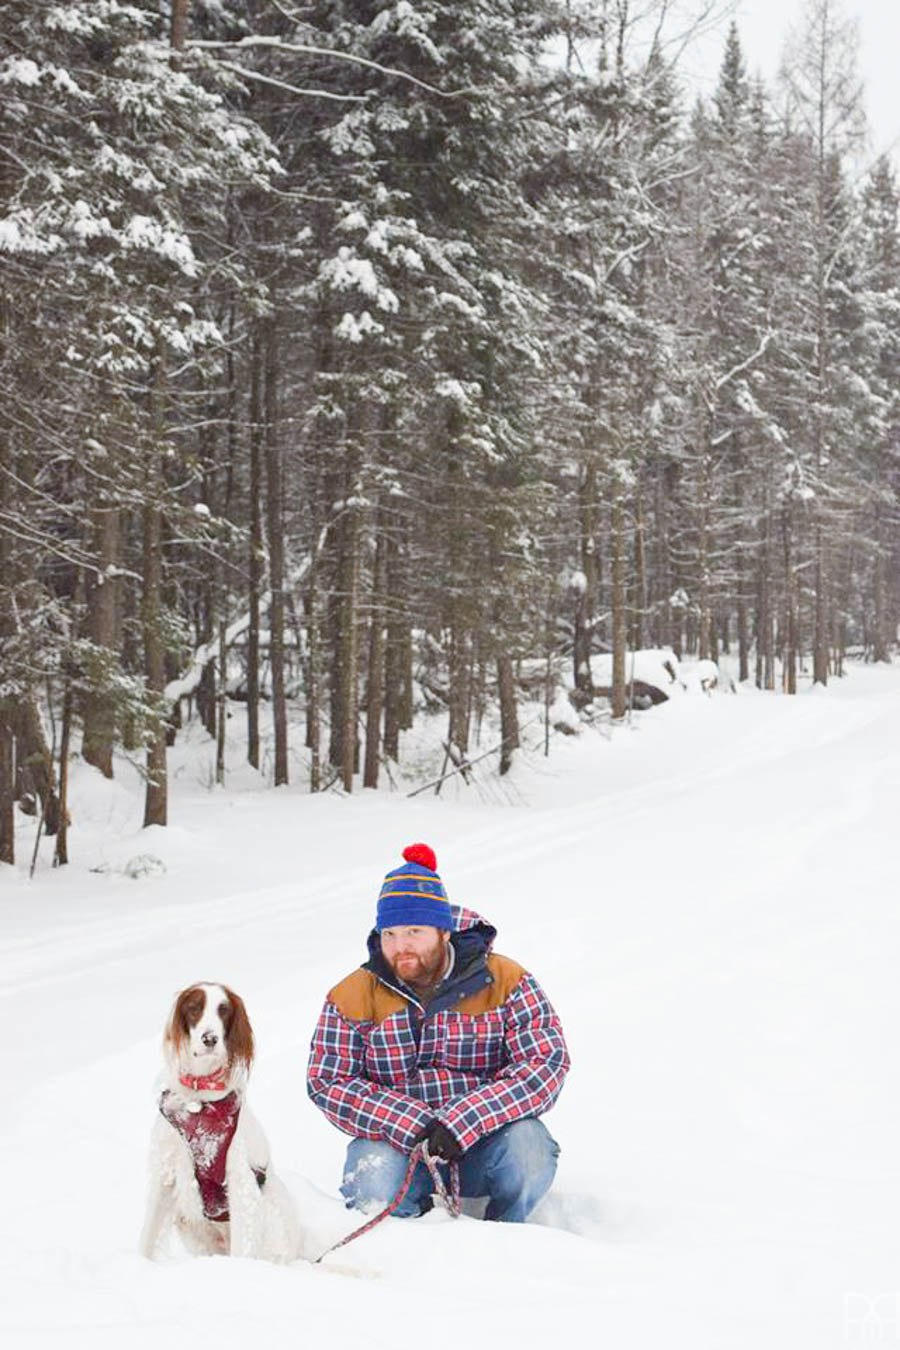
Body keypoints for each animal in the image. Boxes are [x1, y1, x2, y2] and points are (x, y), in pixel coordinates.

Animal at [138, 982, 299, 1263]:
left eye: (224, 1010)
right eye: (194, 1008)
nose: (209, 1039)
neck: (199, 1097)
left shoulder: (242, 1184)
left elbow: (243, 1248)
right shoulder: (165, 1171)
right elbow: (147, 1236)